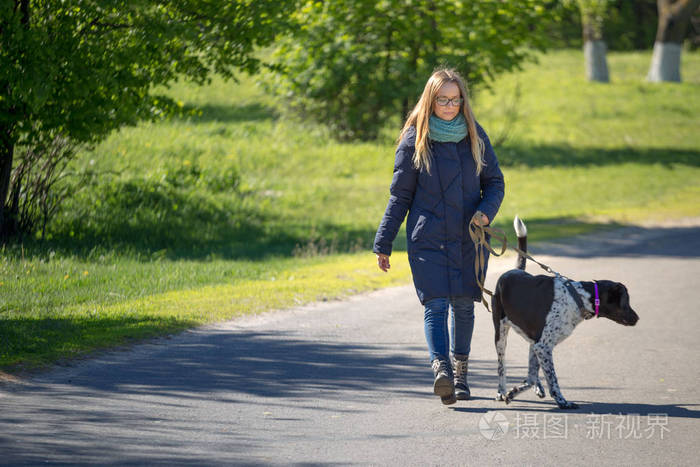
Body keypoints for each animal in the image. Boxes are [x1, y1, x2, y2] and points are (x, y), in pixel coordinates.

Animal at [492, 217, 640, 410]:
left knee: (532, 373)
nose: (637, 318)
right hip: (501, 335)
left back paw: (533, 388)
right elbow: (553, 379)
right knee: (501, 367)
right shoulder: (544, 346)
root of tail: (514, 270)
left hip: (533, 341)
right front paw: (562, 401)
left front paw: (516, 391)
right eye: (626, 301)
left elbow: (532, 376)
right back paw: (501, 392)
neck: (578, 297)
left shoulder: (540, 345)